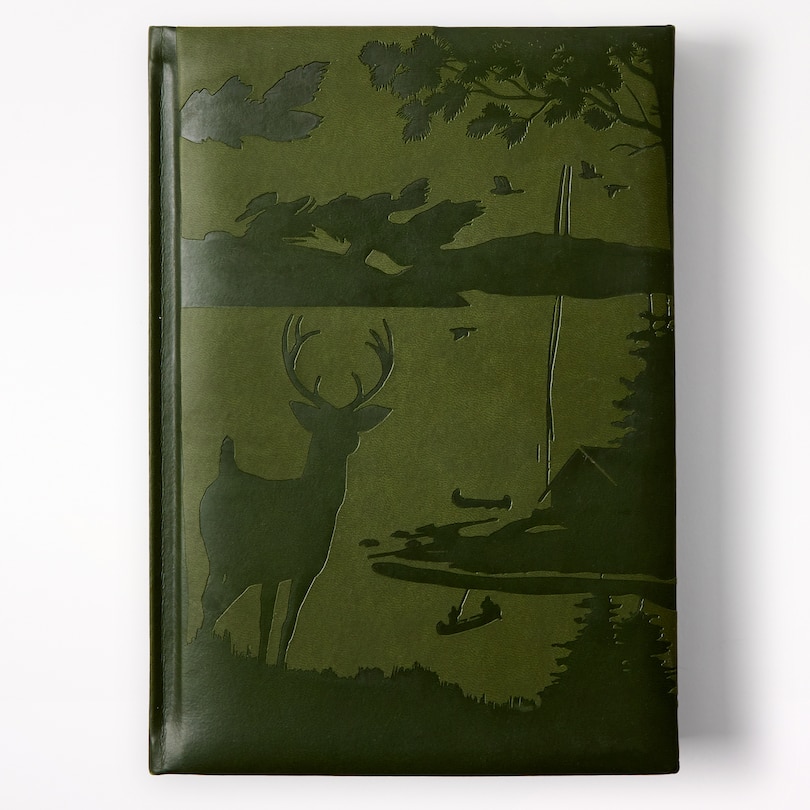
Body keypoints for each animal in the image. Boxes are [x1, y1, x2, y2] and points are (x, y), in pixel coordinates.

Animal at [198, 315, 394, 666]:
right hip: (234, 553)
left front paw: (268, 663)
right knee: (213, 601)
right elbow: (282, 621)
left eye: (351, 425)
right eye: (322, 426)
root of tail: (226, 468)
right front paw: (273, 665)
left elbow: (274, 621)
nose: (347, 441)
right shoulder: (293, 567)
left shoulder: (288, 570)